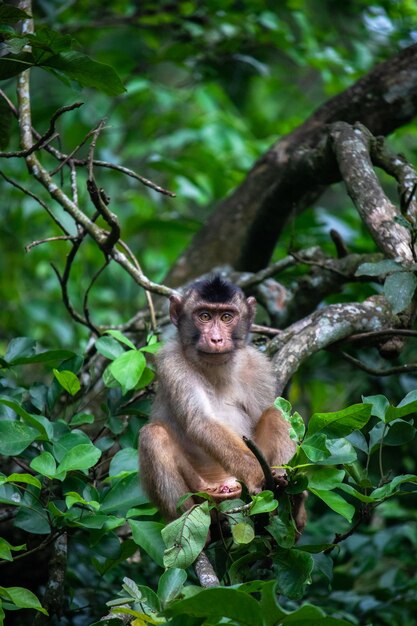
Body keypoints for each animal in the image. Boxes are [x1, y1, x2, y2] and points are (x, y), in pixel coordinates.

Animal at [140, 272, 306, 532]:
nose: (216, 339)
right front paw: (257, 475)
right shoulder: (172, 362)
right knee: (152, 435)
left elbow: (271, 410)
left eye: (227, 316)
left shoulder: (257, 365)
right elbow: (201, 422)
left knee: (276, 414)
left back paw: (291, 499)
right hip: (200, 492)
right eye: (204, 316)